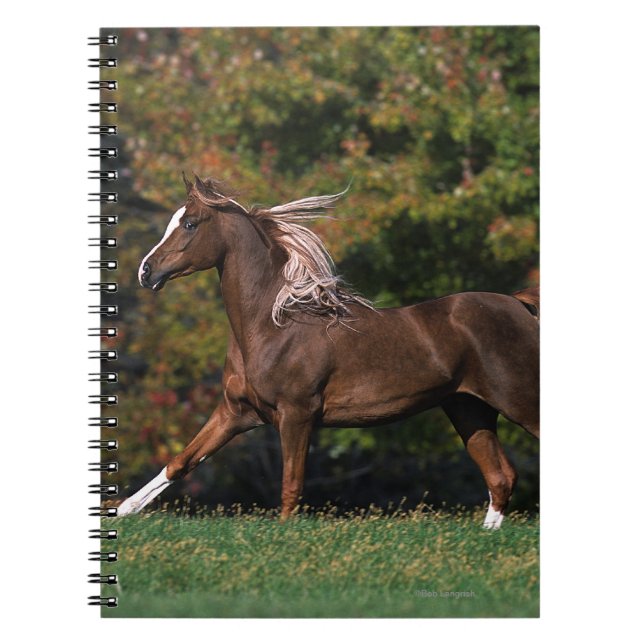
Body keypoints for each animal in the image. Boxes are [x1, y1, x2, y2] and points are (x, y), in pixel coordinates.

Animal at [118, 174, 539, 529]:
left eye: (190, 223)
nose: (145, 271)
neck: (272, 327)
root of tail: (518, 304)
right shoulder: (236, 412)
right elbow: (180, 462)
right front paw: (121, 511)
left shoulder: (296, 415)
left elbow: (291, 486)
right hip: (469, 409)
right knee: (501, 478)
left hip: (518, 401)